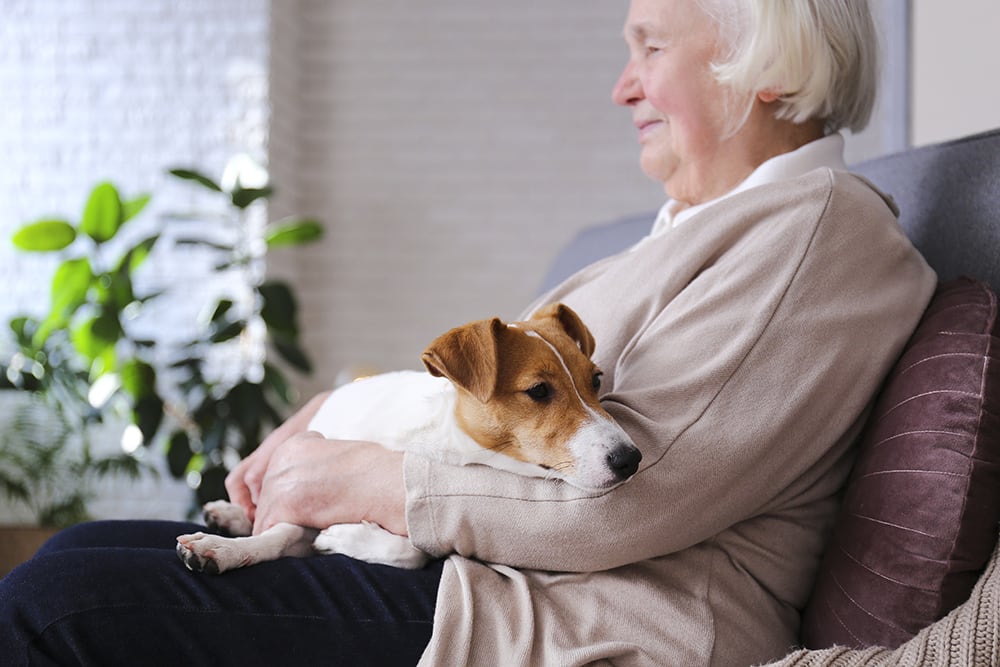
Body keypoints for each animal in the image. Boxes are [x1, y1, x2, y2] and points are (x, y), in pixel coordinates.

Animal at [177, 302, 640, 576]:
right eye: (539, 390)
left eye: (595, 380)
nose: (631, 459)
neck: (440, 442)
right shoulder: (302, 494)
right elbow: (276, 534)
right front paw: (222, 549)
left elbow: (412, 551)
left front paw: (344, 536)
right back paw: (229, 515)